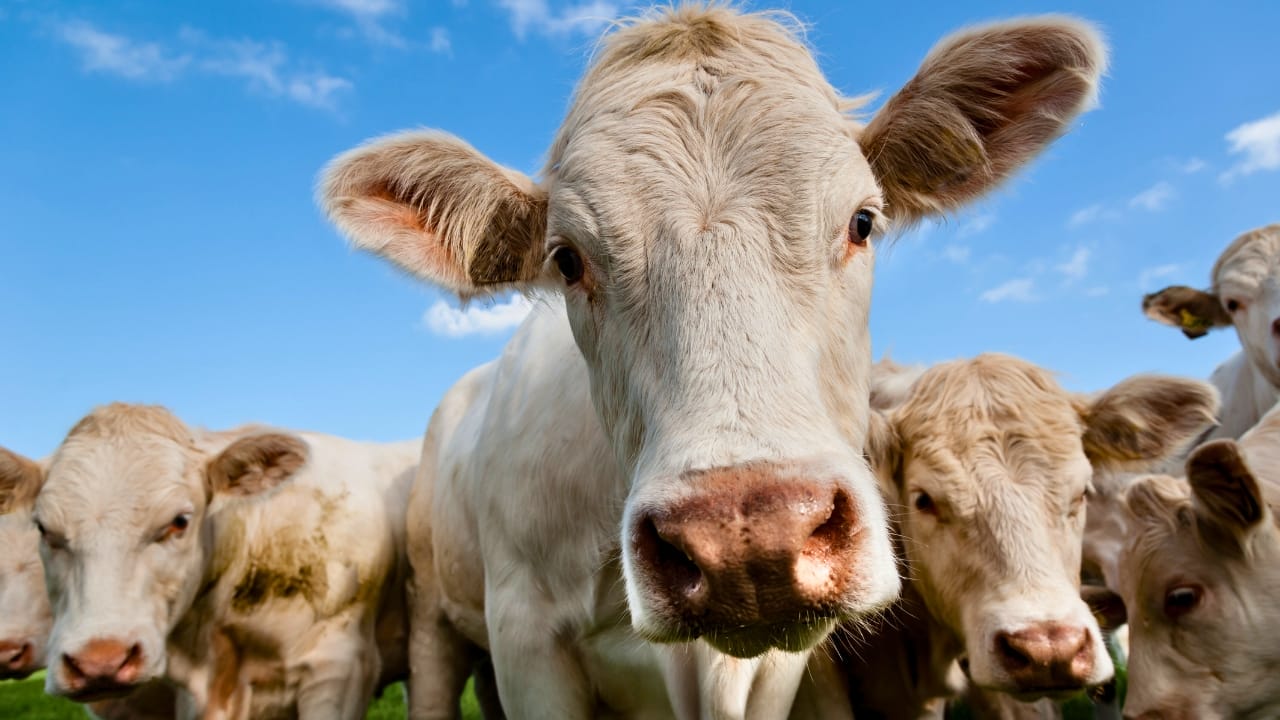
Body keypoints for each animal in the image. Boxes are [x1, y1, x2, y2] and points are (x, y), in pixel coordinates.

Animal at [319, 6, 1107, 710]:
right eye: (567, 259)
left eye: (862, 222)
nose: (748, 537)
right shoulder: (525, 639)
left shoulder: (784, 668)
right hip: (435, 619)